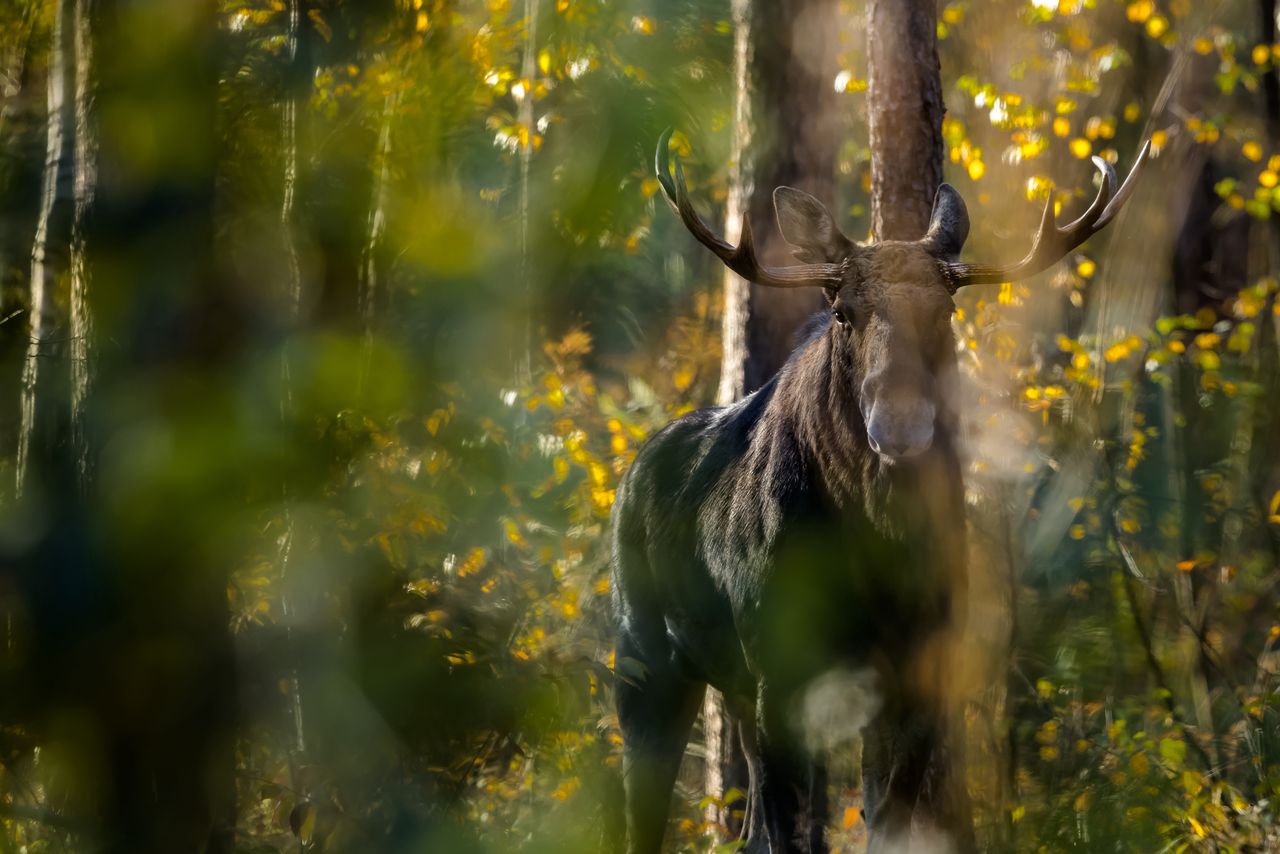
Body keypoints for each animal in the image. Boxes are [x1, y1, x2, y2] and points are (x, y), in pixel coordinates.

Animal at [609, 128, 1152, 854]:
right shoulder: (779, 665)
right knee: (647, 807)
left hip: (731, 681)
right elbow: (793, 829)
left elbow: (884, 820)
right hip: (643, 656)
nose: (900, 423)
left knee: (749, 816)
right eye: (842, 311)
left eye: (946, 310)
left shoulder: (918, 665)